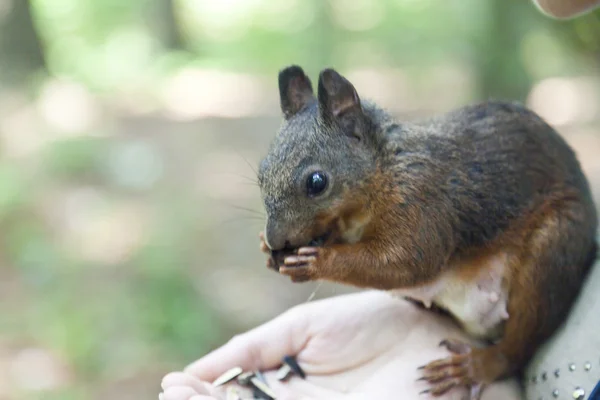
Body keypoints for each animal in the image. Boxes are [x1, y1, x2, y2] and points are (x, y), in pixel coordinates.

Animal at [255, 66, 596, 400]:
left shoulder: (423, 203)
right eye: (261, 172)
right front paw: (269, 251)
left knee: (517, 345)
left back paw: (473, 367)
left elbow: (407, 262)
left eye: (317, 182)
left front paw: (317, 261)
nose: (276, 239)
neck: (385, 170)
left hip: (553, 249)